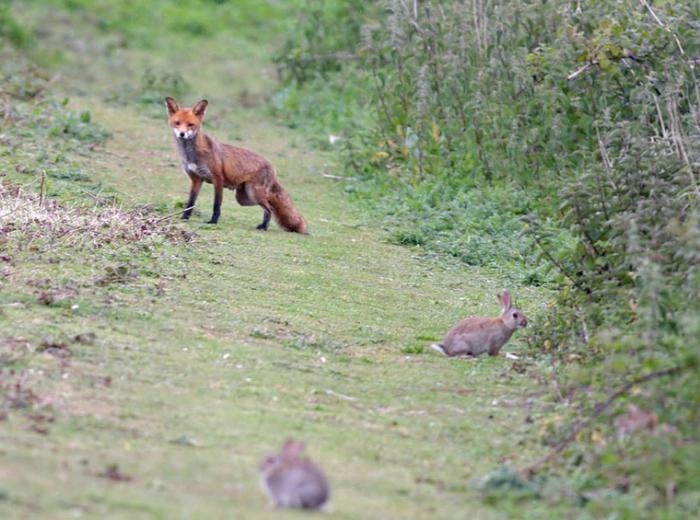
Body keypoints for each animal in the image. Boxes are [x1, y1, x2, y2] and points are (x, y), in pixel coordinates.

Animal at [165, 97, 308, 234]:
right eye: (177, 123)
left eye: (190, 125)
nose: (182, 134)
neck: (192, 154)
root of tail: (271, 166)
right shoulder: (196, 180)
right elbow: (190, 202)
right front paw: (184, 217)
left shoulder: (218, 179)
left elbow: (216, 205)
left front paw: (213, 222)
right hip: (244, 199)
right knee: (270, 207)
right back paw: (263, 225)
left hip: (253, 194)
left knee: (270, 208)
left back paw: (264, 227)